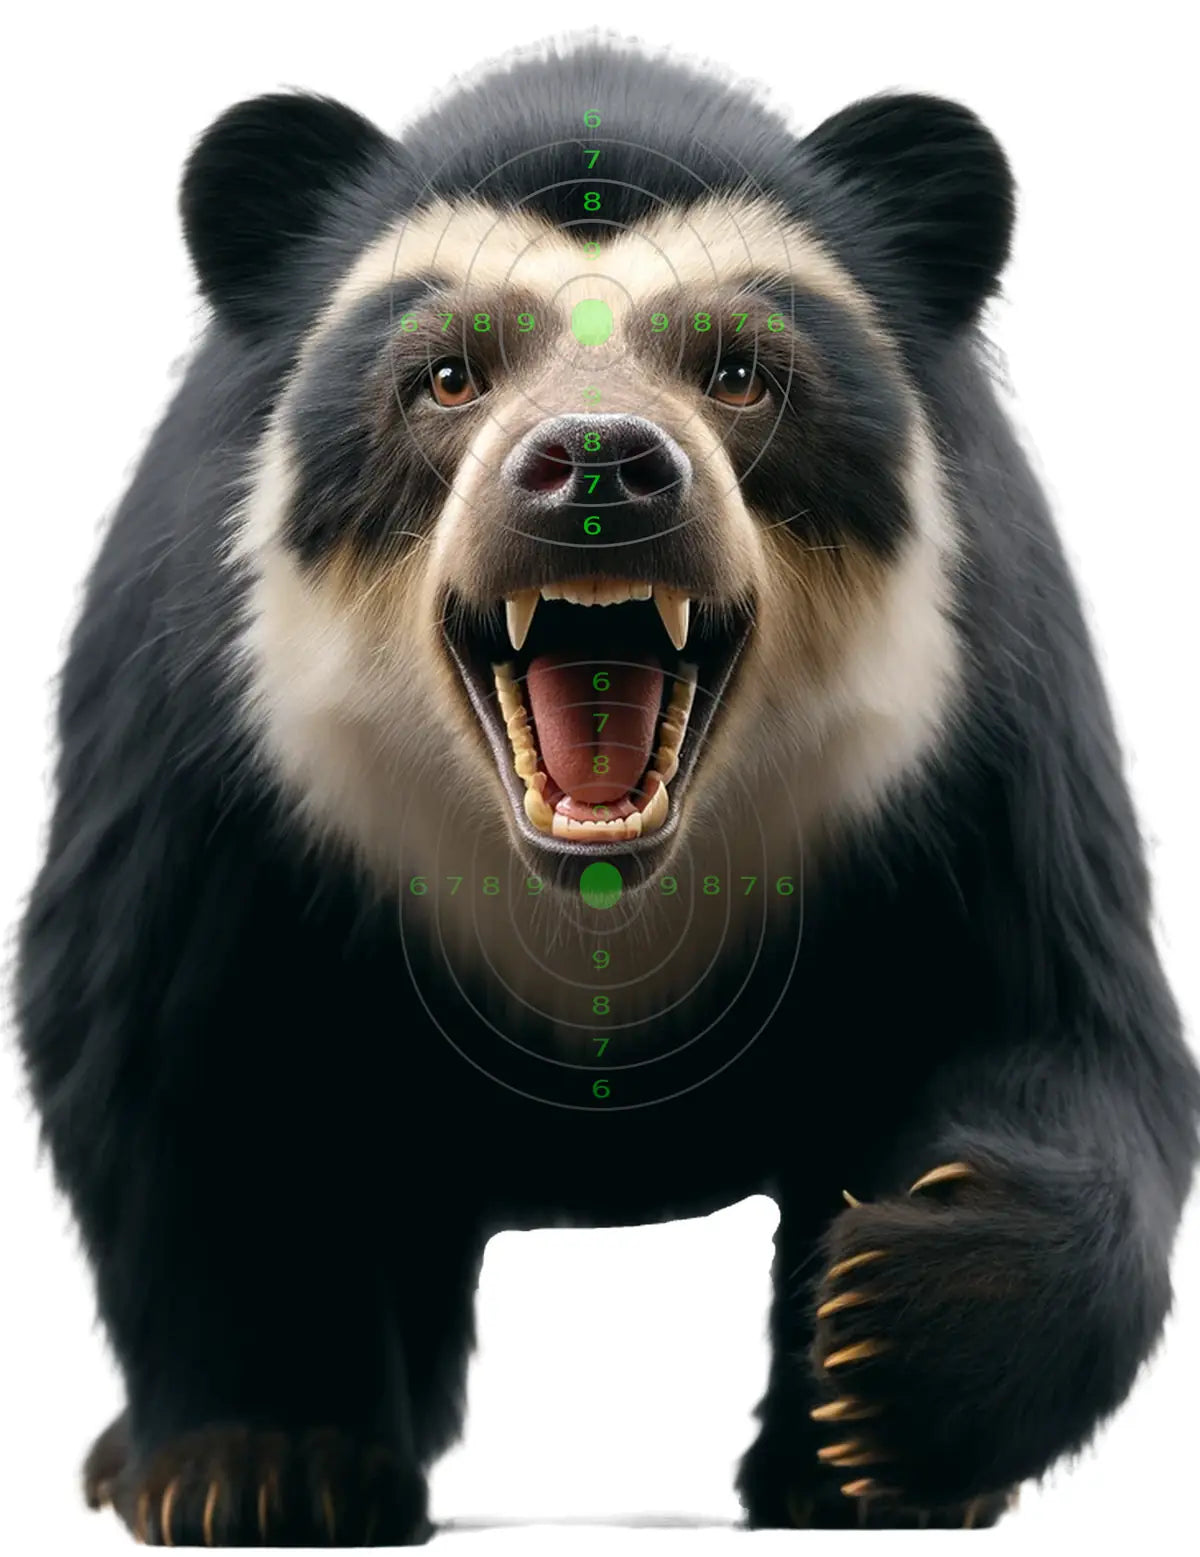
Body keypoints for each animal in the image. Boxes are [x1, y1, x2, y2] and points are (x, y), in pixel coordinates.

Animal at [16, 34, 1199, 1543]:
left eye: (741, 371)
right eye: (448, 376)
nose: (597, 466)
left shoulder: (983, 730)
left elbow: (1058, 1022)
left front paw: (888, 1362)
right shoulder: (197, 737)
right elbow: (184, 1059)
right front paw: (261, 1467)